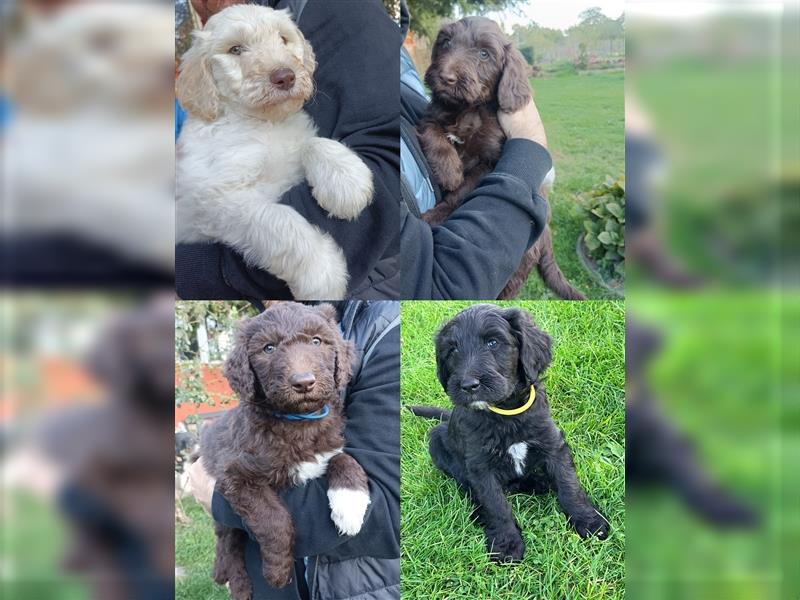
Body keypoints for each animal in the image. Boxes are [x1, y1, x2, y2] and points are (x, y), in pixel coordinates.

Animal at [177, 5, 374, 300]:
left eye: (283, 39)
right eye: (236, 49)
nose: (285, 76)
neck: (265, 124)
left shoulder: (295, 139)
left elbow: (313, 143)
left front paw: (346, 181)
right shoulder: (219, 198)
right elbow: (278, 221)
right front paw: (322, 271)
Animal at [203, 302, 372, 596]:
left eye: (316, 341)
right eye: (268, 348)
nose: (303, 382)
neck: (298, 421)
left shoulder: (330, 445)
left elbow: (344, 459)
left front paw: (350, 505)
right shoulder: (234, 475)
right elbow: (273, 518)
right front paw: (277, 572)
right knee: (229, 543)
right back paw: (235, 583)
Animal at [412, 304, 608, 564]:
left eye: (493, 342)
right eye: (452, 350)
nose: (468, 385)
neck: (505, 414)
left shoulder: (552, 444)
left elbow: (569, 485)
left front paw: (589, 521)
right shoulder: (480, 465)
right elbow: (496, 504)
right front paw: (506, 544)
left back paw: (541, 482)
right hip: (437, 441)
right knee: (467, 486)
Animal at [418, 17, 580, 298]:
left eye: (484, 54)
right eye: (446, 43)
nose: (445, 78)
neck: (469, 108)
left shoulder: (491, 161)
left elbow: (465, 190)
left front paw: (439, 212)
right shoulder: (432, 115)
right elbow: (435, 135)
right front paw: (450, 172)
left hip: (517, 271)